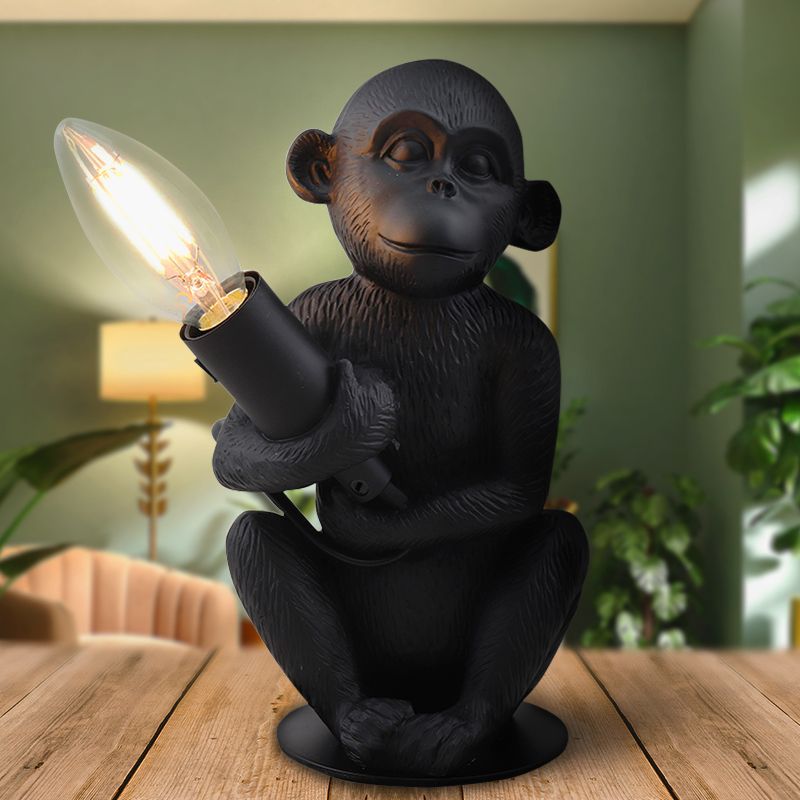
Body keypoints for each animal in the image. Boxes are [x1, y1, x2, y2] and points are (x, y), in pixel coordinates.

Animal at [211, 59, 589, 777]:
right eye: (406, 154)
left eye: (480, 166)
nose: (444, 185)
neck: (414, 303)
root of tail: (417, 687)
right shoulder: (307, 310)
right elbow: (234, 447)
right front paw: (350, 428)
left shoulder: (534, 347)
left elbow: (520, 484)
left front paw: (368, 511)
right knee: (253, 539)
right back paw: (360, 719)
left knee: (559, 541)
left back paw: (462, 730)